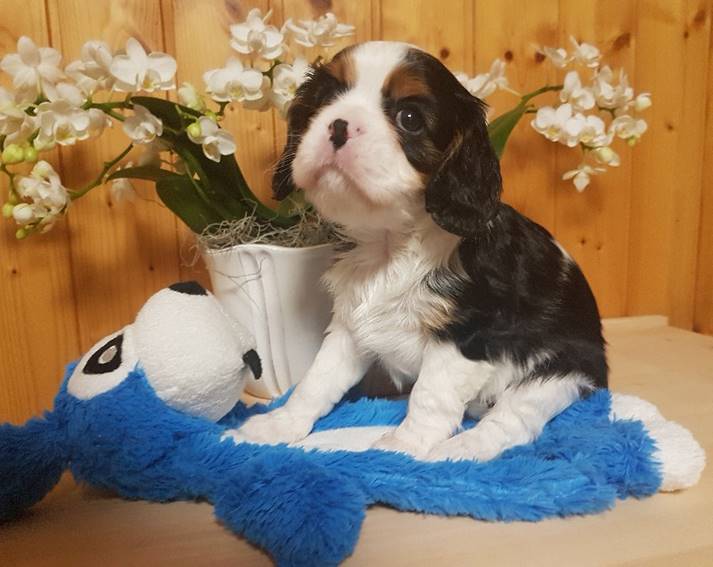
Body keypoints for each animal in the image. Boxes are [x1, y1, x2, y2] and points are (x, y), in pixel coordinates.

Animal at [227, 41, 607, 462]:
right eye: (326, 99)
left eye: (409, 118)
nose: (338, 125)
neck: (391, 243)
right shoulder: (349, 326)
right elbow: (317, 379)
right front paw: (279, 425)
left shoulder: (465, 337)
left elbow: (430, 395)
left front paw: (405, 446)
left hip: (555, 371)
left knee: (513, 422)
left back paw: (462, 448)